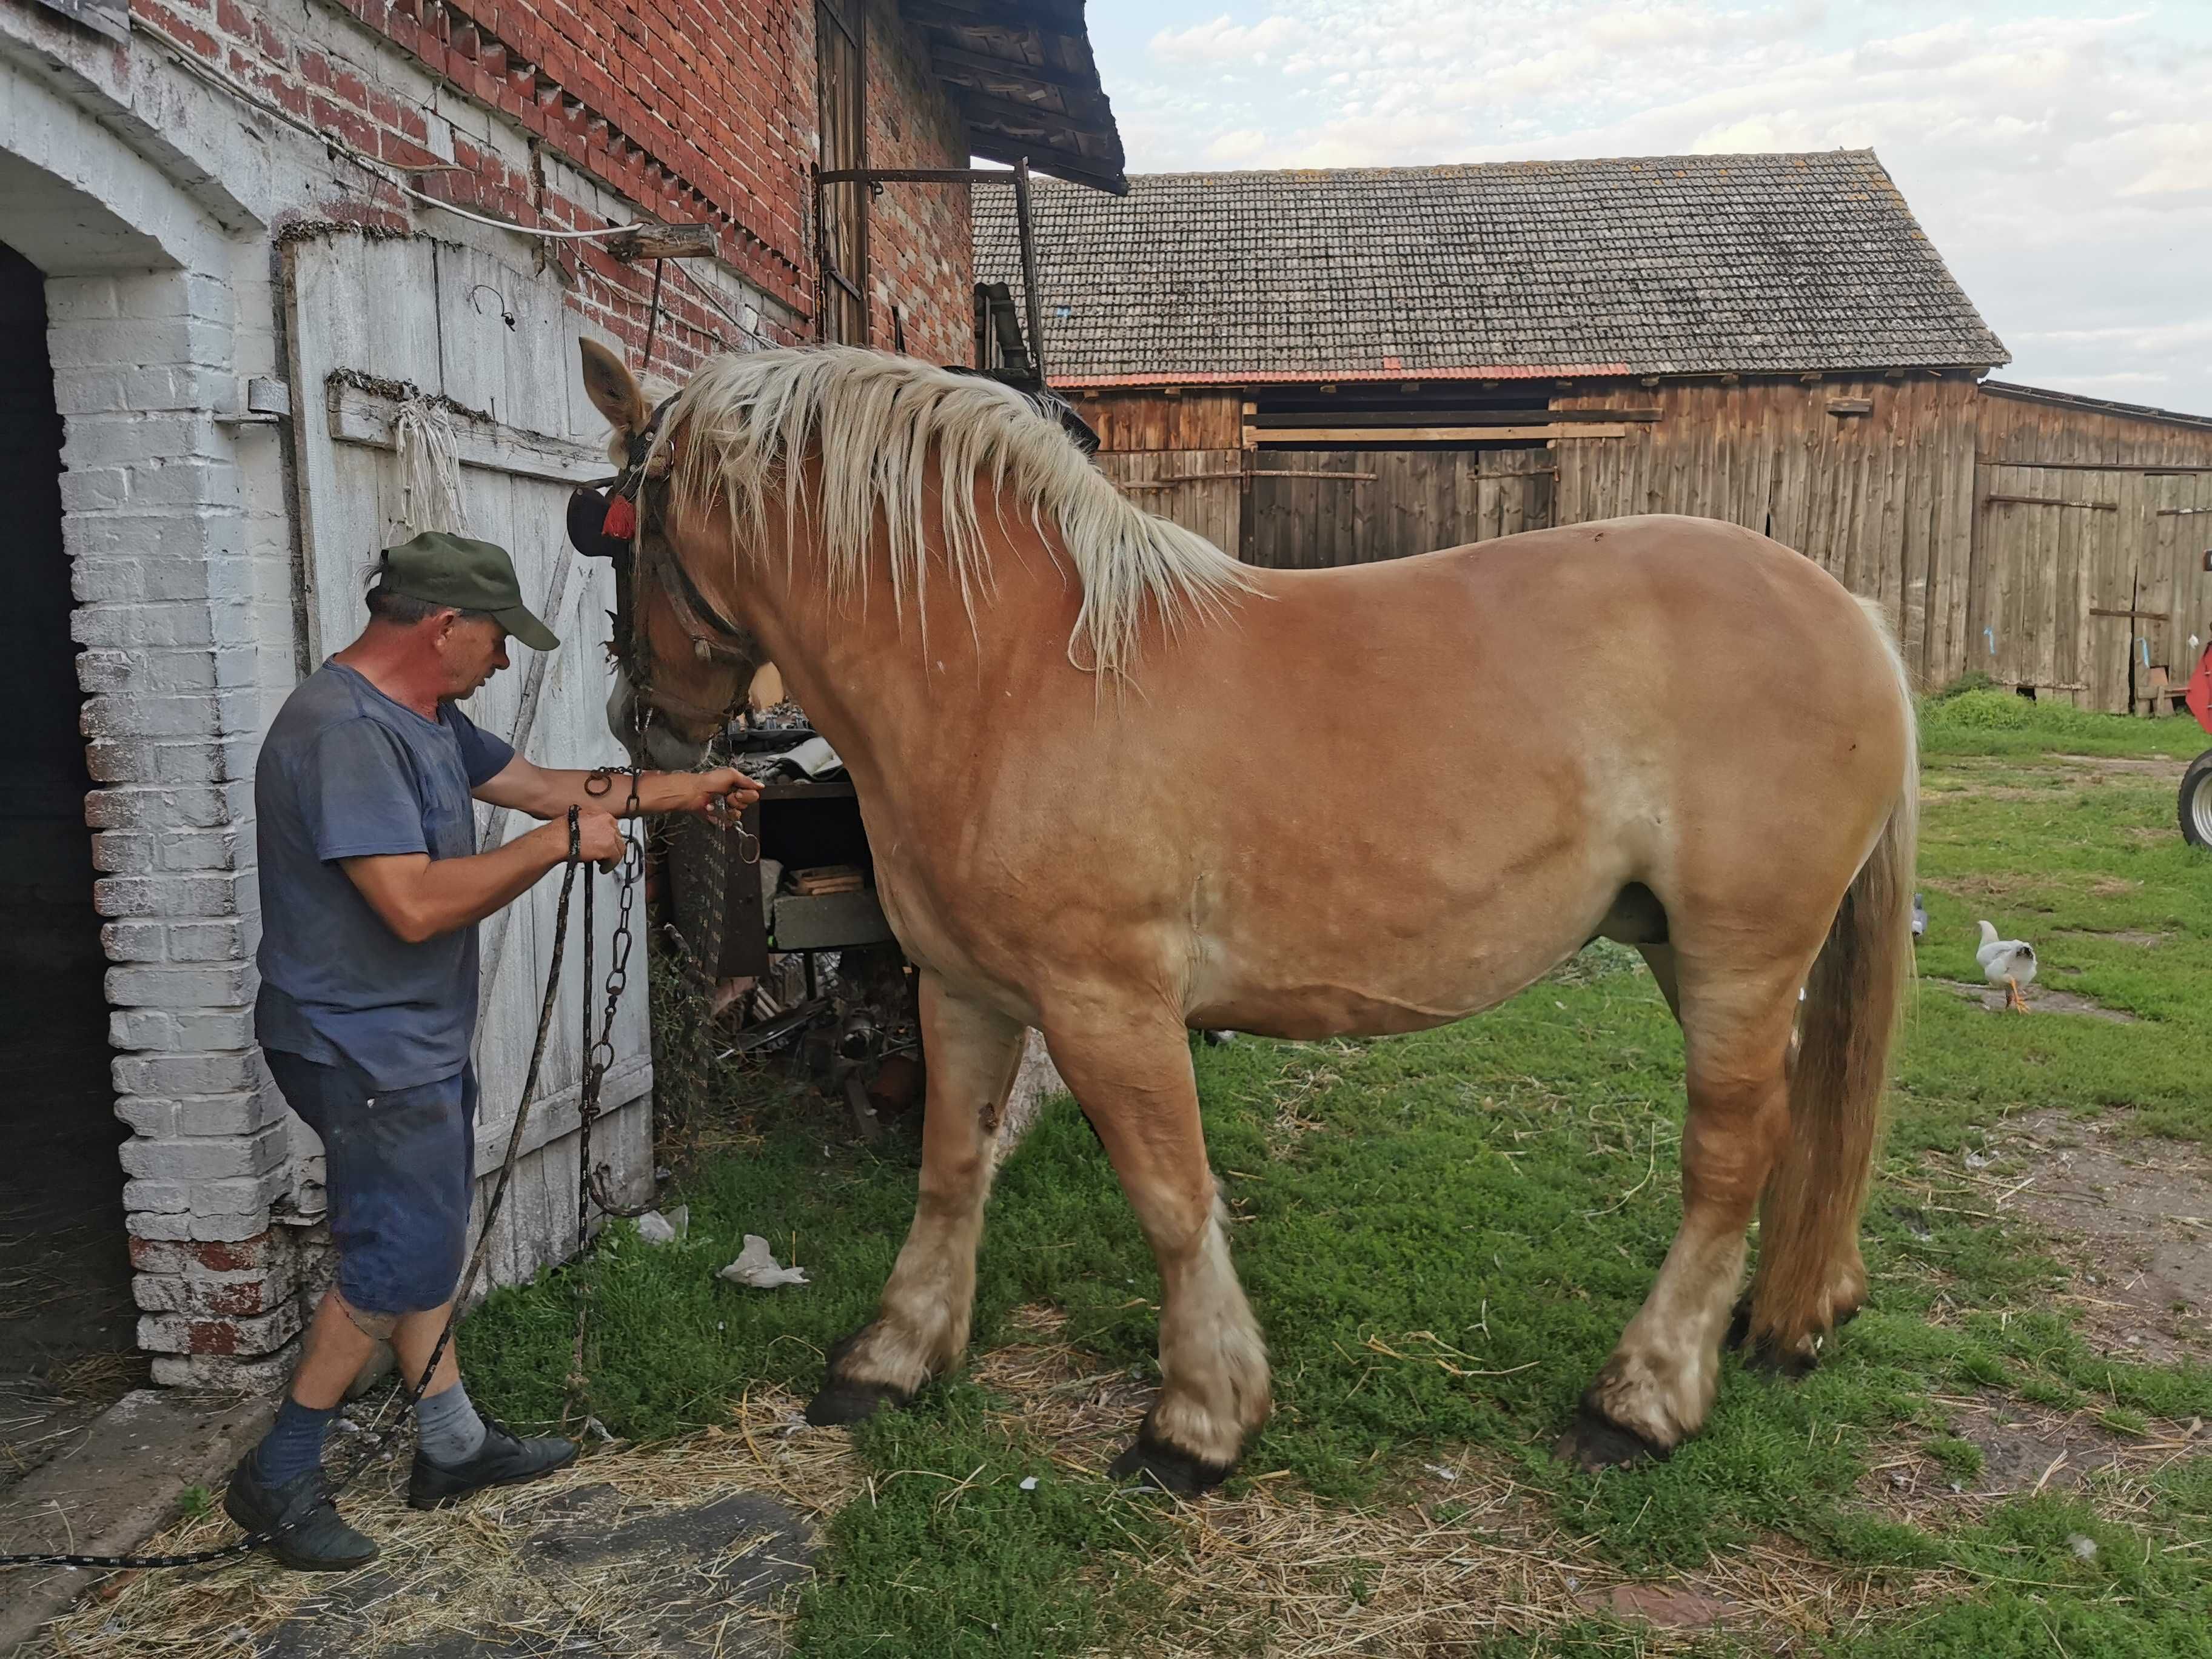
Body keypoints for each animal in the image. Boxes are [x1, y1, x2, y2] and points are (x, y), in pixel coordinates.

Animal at [575, 338, 1920, 1495]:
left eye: (609, 528)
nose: (639, 726)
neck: (1007, 670)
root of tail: (1853, 610)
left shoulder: (1108, 1004)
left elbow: (1173, 1199)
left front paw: (1199, 1421)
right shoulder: (956, 988)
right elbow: (951, 1170)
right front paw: (893, 1356)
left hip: (1741, 951)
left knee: (1730, 1152)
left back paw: (1641, 1399)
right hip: (1691, 954)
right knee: (1799, 1117)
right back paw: (1796, 1311)